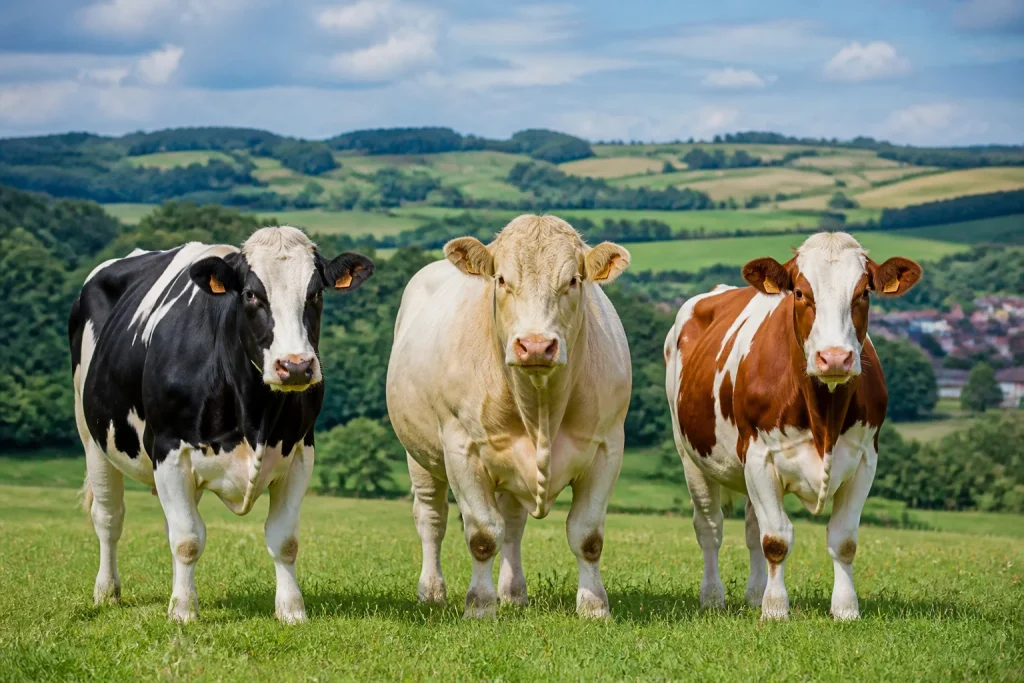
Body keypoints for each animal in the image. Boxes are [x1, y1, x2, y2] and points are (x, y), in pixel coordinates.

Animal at [68, 226, 374, 623]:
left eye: (316, 293)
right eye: (250, 294)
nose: (295, 366)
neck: (253, 412)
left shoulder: (300, 452)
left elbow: (284, 540)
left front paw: (292, 610)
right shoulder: (168, 449)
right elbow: (187, 539)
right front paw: (183, 612)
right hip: (91, 436)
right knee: (109, 518)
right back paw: (107, 591)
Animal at [386, 214, 632, 619]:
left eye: (573, 280)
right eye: (501, 280)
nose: (535, 345)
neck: (541, 407)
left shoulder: (606, 447)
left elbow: (587, 536)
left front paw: (594, 606)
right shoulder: (462, 450)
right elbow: (483, 535)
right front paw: (480, 606)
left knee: (513, 524)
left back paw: (514, 592)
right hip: (418, 456)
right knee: (431, 519)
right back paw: (432, 591)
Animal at [663, 232, 922, 621]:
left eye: (864, 292)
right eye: (800, 292)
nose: (835, 357)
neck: (823, 414)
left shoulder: (865, 460)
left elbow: (843, 540)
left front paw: (845, 609)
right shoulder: (760, 457)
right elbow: (776, 539)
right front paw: (775, 610)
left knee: (751, 528)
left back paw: (754, 594)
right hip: (691, 457)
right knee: (710, 527)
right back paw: (713, 596)